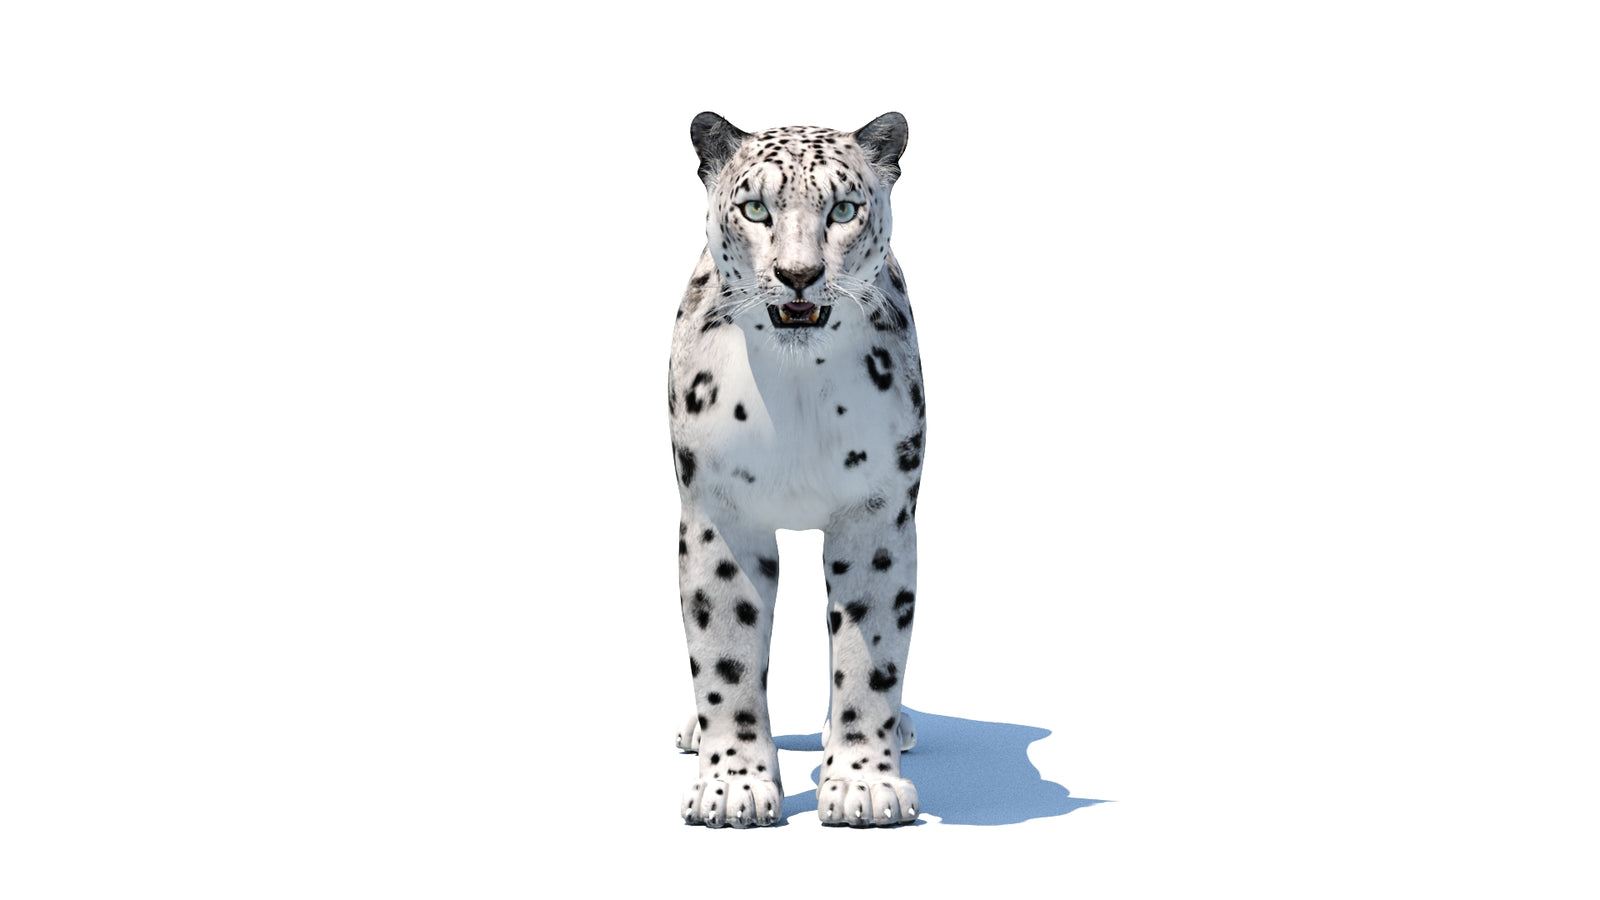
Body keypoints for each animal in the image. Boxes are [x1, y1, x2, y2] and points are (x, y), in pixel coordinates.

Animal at [668, 112, 925, 828]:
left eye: (843, 210)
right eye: (756, 208)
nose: (799, 274)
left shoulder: (876, 514)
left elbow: (869, 656)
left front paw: (865, 785)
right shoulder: (719, 511)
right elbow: (725, 653)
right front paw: (734, 786)